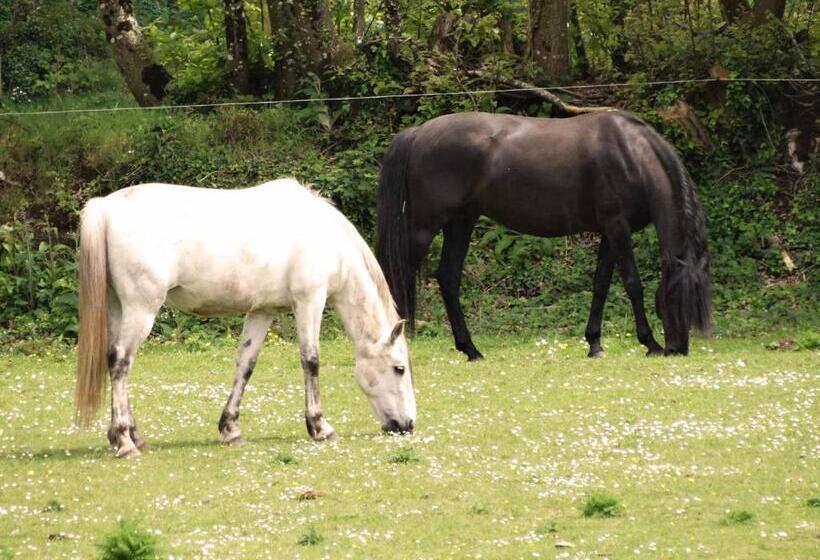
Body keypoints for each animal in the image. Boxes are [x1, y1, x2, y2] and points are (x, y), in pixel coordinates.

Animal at [75, 178, 415, 458]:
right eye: (398, 368)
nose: (408, 424)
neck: (327, 239)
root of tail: (106, 207)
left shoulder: (262, 311)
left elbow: (246, 365)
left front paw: (230, 429)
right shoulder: (310, 301)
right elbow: (311, 361)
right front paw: (320, 427)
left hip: (119, 309)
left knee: (116, 362)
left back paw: (131, 436)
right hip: (141, 309)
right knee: (120, 362)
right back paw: (125, 442)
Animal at [376, 111, 711, 361]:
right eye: (674, 297)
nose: (677, 349)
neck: (630, 155)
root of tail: (418, 133)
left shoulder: (609, 230)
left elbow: (600, 285)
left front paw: (594, 344)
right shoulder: (617, 227)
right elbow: (632, 284)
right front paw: (650, 343)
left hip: (461, 223)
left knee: (448, 278)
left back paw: (471, 350)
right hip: (425, 227)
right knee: (392, 276)